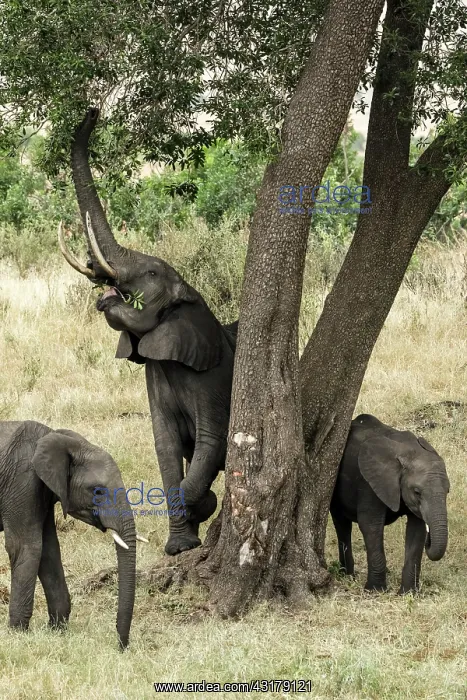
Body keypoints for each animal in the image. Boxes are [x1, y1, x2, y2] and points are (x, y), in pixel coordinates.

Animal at [0, 420, 136, 648]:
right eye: (98, 491)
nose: (121, 646)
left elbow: (49, 550)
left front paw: (57, 630)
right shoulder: (21, 481)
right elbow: (27, 547)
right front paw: (18, 635)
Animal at [59, 108, 237, 556]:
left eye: (153, 273)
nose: (93, 111)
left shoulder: (212, 378)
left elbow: (210, 445)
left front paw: (199, 511)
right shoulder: (155, 373)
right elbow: (166, 446)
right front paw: (181, 546)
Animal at [330, 413, 450, 593]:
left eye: (448, 491)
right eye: (417, 492)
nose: (430, 541)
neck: (408, 452)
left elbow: (416, 530)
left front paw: (409, 593)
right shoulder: (369, 484)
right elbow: (370, 525)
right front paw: (375, 591)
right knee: (341, 523)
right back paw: (348, 576)